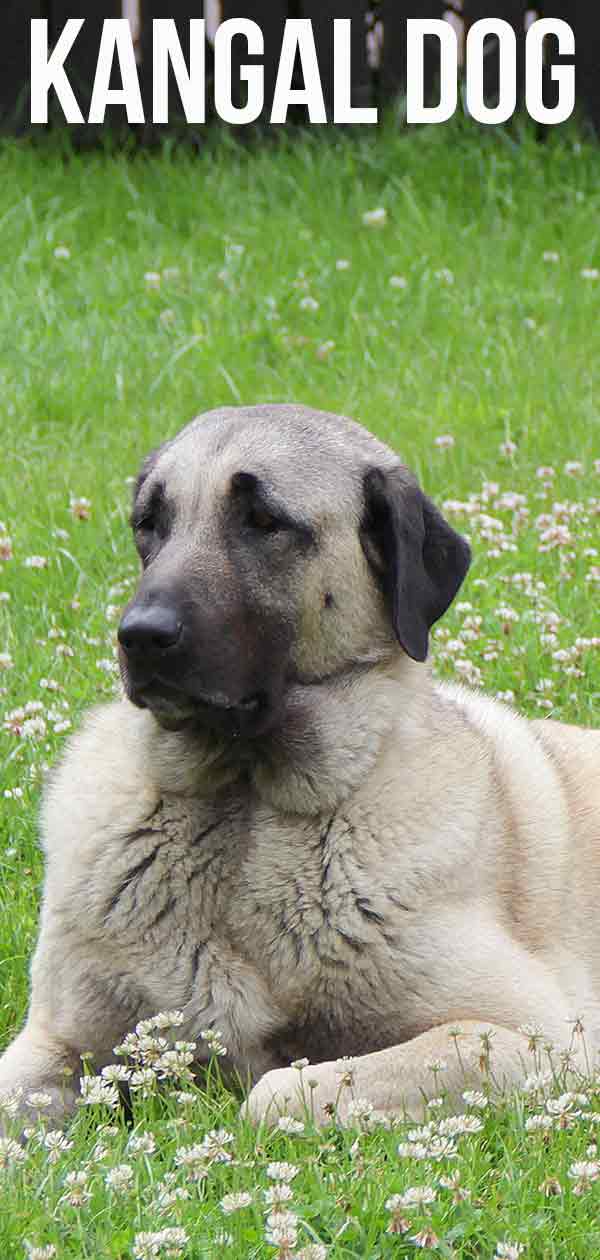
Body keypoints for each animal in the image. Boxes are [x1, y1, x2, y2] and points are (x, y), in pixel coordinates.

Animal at [1, 405, 600, 1134]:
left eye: (264, 521)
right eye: (150, 523)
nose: (140, 636)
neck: (244, 808)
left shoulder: (532, 1036)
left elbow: (274, 1093)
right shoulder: (58, 1042)